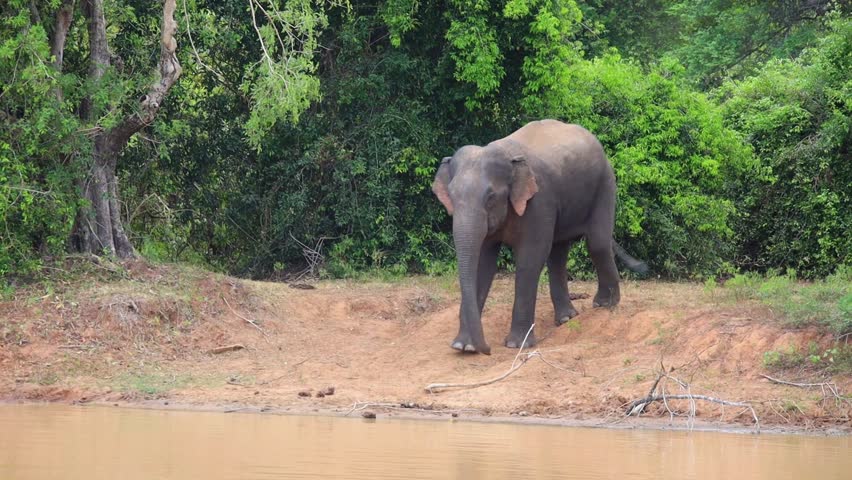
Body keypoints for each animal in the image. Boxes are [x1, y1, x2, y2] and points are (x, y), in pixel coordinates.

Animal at [432, 119, 647, 355]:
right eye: (451, 196)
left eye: (490, 197)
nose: (487, 349)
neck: (506, 154)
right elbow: (482, 262)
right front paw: (463, 346)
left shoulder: (540, 200)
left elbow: (531, 257)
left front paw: (516, 345)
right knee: (559, 252)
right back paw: (567, 318)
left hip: (605, 184)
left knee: (596, 242)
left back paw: (604, 305)